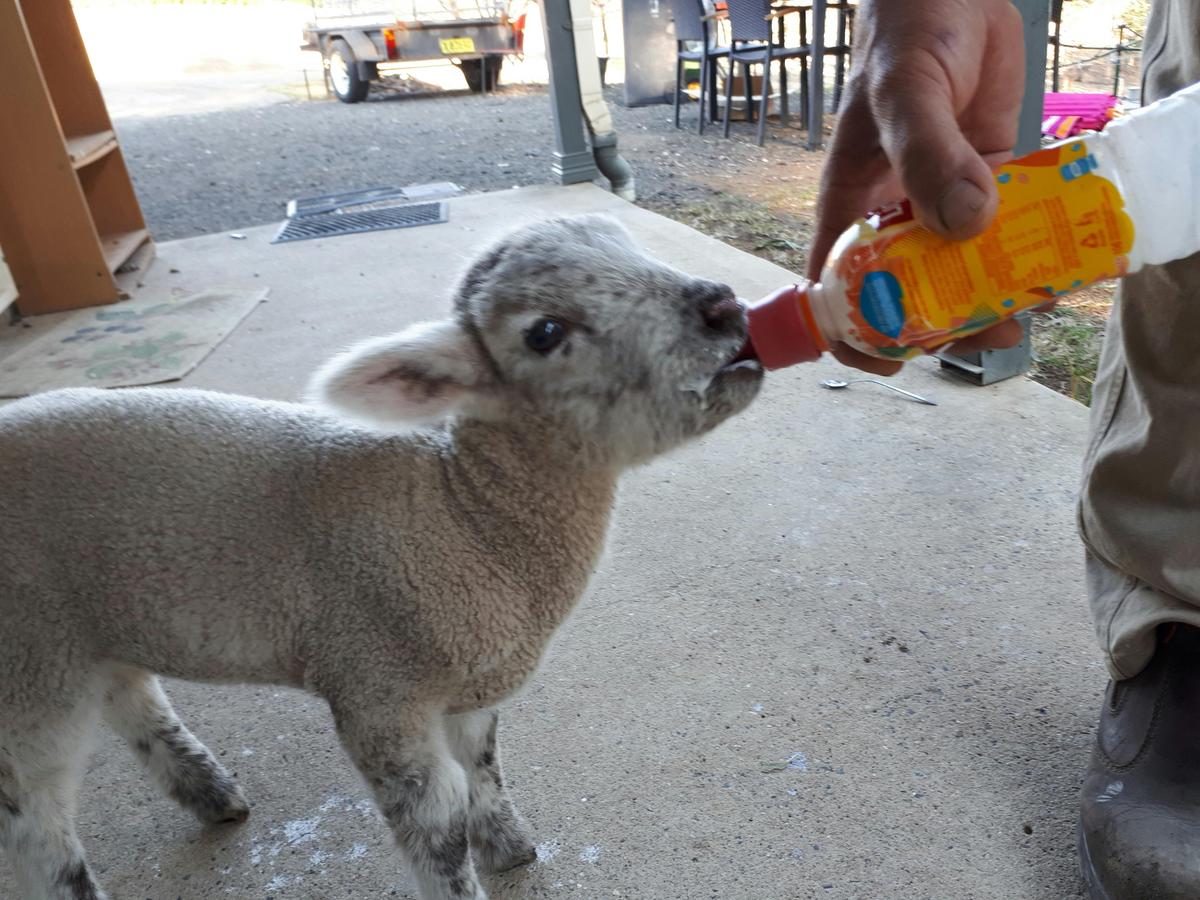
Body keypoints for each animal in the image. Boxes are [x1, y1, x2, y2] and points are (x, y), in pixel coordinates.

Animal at [0, 214, 763, 900]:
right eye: (544, 332)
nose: (723, 305)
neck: (463, 515)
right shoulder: (376, 689)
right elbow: (437, 828)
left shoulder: (467, 689)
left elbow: (485, 767)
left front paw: (510, 846)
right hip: (29, 666)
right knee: (37, 825)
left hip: (94, 624)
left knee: (131, 697)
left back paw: (214, 795)